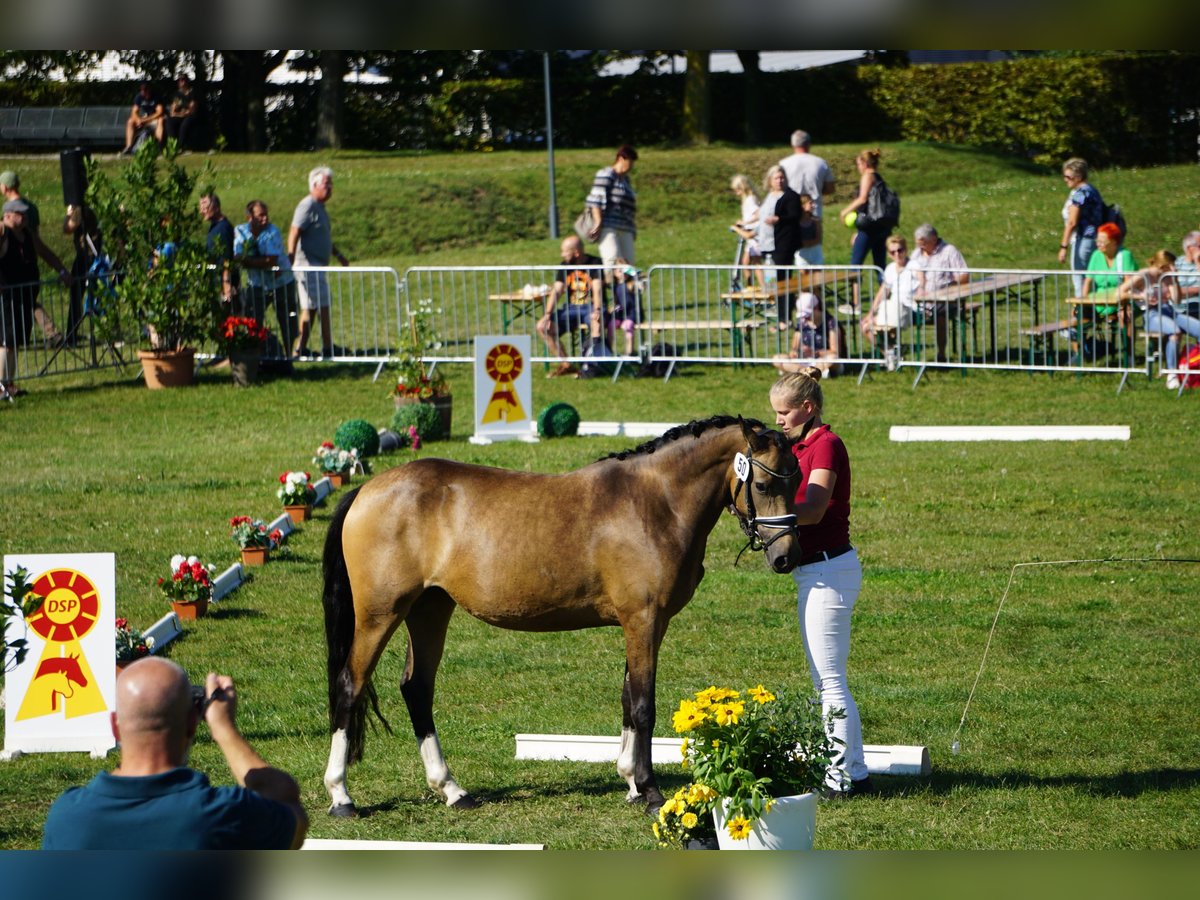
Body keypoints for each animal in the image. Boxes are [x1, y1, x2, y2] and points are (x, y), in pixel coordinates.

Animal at [324, 415, 801, 816]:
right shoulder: (643, 620)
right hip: (380, 614)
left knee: (417, 689)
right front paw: (648, 791)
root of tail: (366, 490)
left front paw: (630, 781)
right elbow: (643, 704)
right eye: (762, 484)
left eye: (796, 478)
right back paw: (341, 796)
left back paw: (452, 789)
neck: (655, 501)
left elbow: (627, 697)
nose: (785, 557)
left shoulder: (642, 623)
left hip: (429, 609)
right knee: (351, 685)